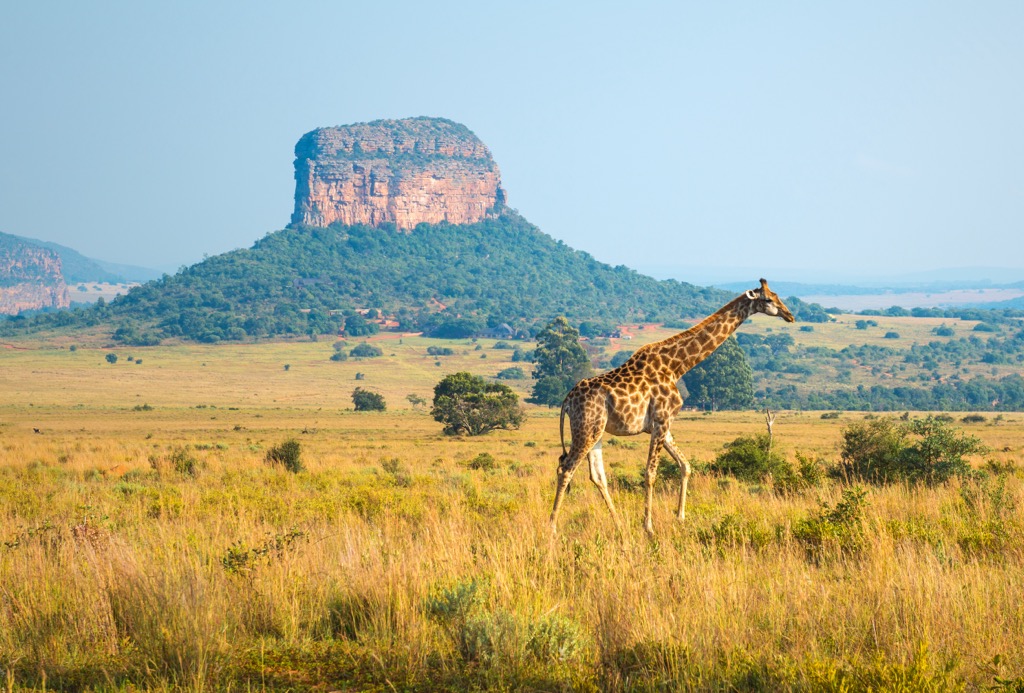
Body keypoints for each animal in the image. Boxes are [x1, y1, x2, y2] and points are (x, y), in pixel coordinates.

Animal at [548, 276, 794, 536]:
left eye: (777, 295)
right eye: (768, 299)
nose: (790, 315)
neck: (677, 367)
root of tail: (567, 400)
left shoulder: (662, 425)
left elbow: (685, 465)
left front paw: (680, 517)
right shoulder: (661, 421)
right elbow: (650, 473)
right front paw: (648, 527)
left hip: (597, 431)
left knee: (597, 475)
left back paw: (619, 524)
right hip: (586, 428)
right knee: (566, 468)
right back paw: (552, 527)